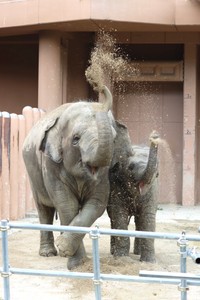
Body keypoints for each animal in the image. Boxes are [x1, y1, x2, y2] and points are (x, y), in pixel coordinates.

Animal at [22, 85, 115, 270]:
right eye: (76, 140)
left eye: (114, 138)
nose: (99, 85)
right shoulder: (50, 164)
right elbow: (67, 205)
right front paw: (76, 263)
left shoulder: (103, 175)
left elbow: (97, 203)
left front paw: (65, 249)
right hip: (33, 174)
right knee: (44, 209)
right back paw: (48, 253)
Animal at [107, 121, 159, 262]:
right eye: (130, 167)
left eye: (157, 171)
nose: (155, 136)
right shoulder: (116, 185)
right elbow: (119, 214)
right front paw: (121, 258)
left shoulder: (152, 189)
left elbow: (148, 216)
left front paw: (149, 262)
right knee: (113, 218)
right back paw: (114, 252)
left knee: (139, 220)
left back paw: (137, 252)